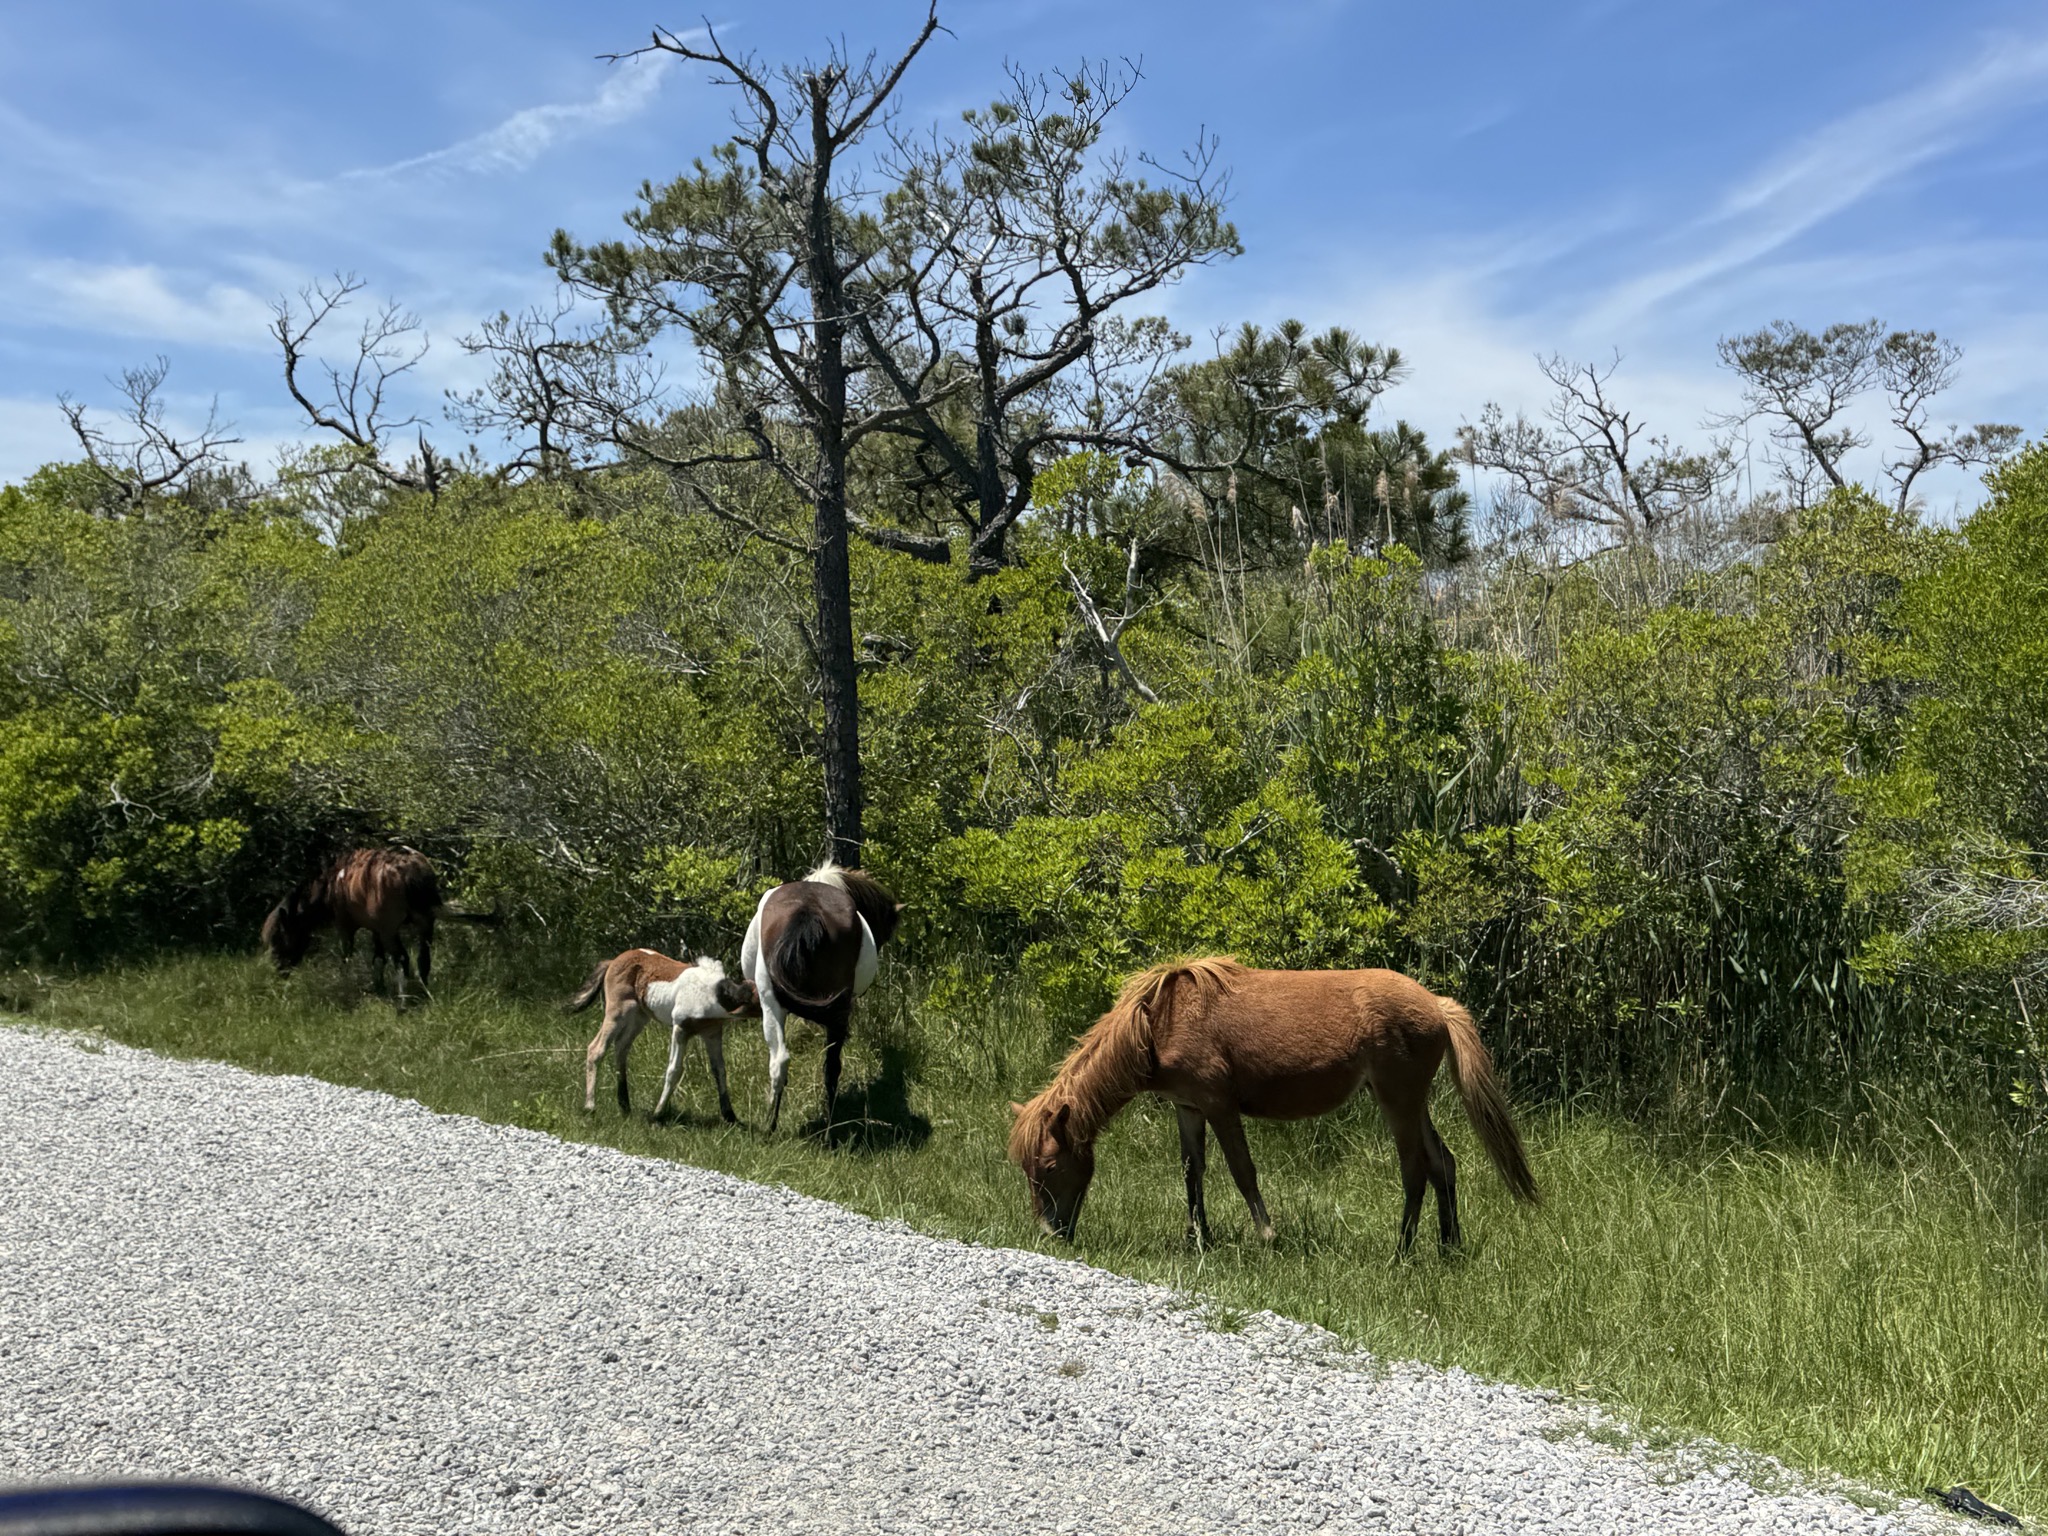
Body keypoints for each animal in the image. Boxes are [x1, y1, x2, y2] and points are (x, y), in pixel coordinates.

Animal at [259, 846, 492, 1005]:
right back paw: (424, 992)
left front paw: (345, 986)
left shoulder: (346, 926)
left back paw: (403, 1003)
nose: (278, 968)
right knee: (423, 958)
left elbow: (346, 957)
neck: (331, 885)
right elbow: (378, 959)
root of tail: (412, 874)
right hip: (425, 922)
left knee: (402, 958)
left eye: (278, 938)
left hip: (392, 928)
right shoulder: (376, 929)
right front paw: (378, 988)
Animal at [567, 949, 760, 1121]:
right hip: (617, 1013)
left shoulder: (712, 1033)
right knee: (596, 1049)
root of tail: (613, 961)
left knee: (621, 1048)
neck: (714, 993)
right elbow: (674, 1070)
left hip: (638, 1017)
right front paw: (658, 1114)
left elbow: (719, 1070)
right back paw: (590, 1107)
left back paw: (625, 1106)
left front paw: (731, 1117)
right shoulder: (680, 1029)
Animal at [1008, 957, 1540, 1252]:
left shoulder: (1218, 1106)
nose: (1049, 1233)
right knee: (1442, 1164)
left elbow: (1242, 1171)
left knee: (1414, 1169)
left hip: (1398, 1100)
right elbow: (1192, 1173)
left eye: (1050, 1165)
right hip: (1411, 1102)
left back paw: (1402, 1252)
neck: (1160, 1024)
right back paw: (1448, 1247)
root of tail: (1437, 1007)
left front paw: (1266, 1236)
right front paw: (1199, 1240)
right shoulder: (1188, 1108)